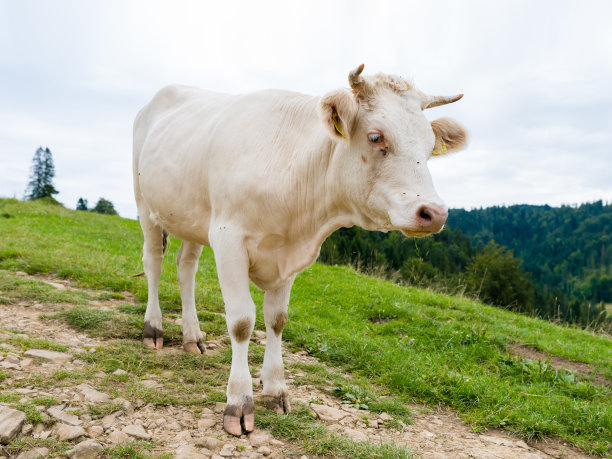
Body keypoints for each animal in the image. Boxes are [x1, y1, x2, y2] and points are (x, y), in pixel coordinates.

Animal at [134, 64, 466, 434]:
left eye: (430, 146)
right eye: (376, 137)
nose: (435, 213)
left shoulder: (288, 255)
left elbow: (277, 319)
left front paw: (276, 391)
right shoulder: (227, 238)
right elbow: (242, 322)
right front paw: (239, 402)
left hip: (191, 218)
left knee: (185, 267)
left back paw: (193, 337)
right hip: (145, 203)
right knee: (154, 262)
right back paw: (153, 328)